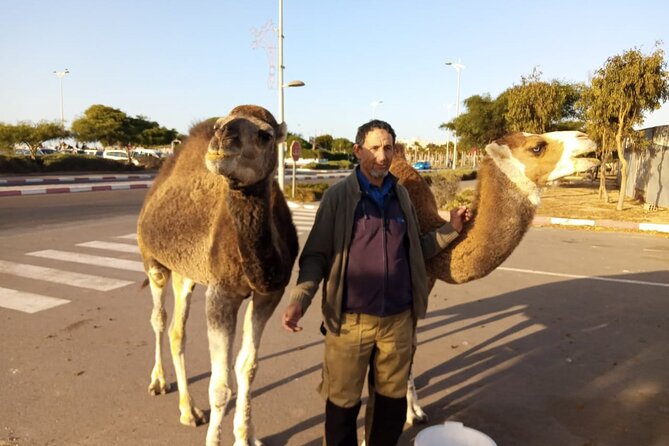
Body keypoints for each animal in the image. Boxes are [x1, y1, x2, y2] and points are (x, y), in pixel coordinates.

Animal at [136, 105, 298, 446]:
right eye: (221, 124)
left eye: (265, 135)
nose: (222, 137)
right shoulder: (222, 295)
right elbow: (221, 386)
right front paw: (217, 439)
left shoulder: (268, 294)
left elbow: (247, 367)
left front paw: (247, 436)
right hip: (153, 261)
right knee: (159, 318)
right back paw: (160, 383)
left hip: (186, 273)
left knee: (177, 331)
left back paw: (189, 410)